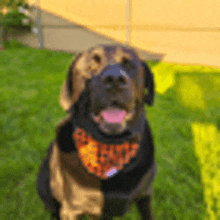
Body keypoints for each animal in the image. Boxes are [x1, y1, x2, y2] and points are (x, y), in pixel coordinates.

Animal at [37, 44, 156, 220]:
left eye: (129, 65)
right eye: (90, 67)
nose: (115, 80)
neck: (110, 147)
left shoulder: (145, 196)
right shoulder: (71, 209)